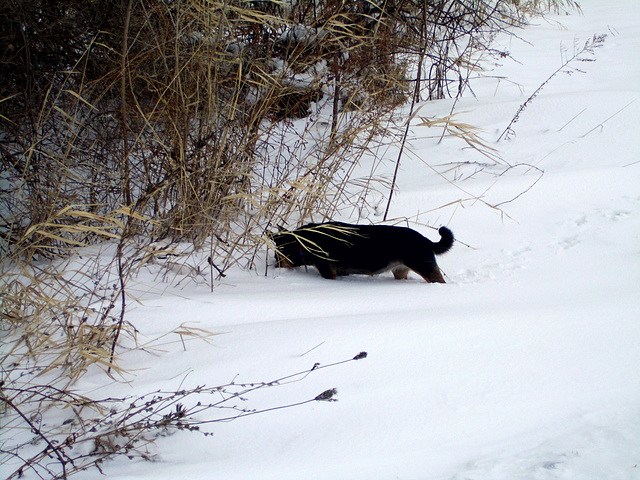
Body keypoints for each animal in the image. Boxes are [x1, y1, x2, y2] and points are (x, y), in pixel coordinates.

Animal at [272, 223, 452, 284]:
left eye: (277, 254)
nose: (274, 266)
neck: (305, 242)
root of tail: (426, 240)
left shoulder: (328, 272)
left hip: (426, 269)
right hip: (400, 271)